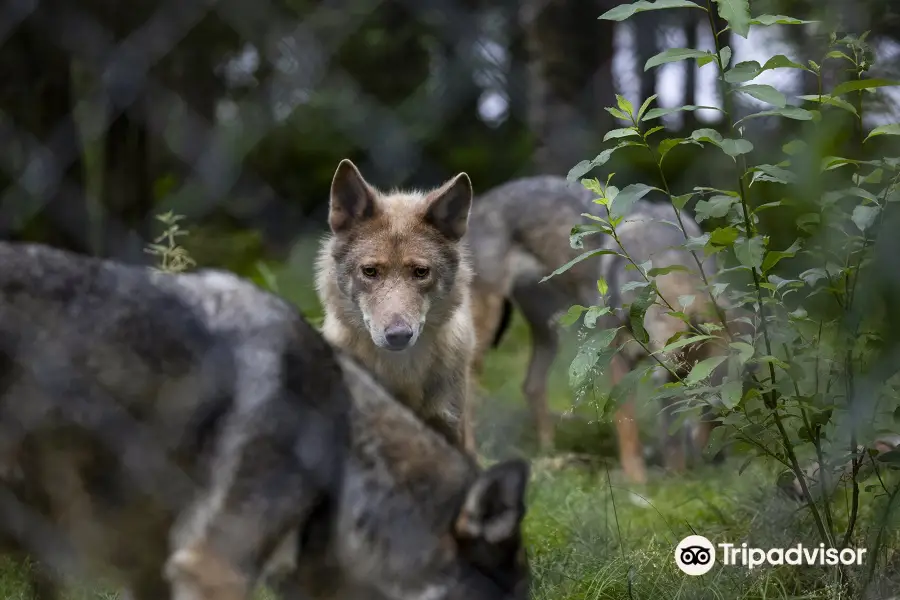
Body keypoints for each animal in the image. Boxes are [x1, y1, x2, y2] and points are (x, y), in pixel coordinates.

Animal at [460, 176, 728, 486]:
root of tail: (483, 200)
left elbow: (672, 436)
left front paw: (678, 479)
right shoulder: (619, 359)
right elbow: (628, 426)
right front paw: (638, 482)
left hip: (550, 333)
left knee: (531, 385)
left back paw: (547, 455)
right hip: (482, 338)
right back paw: (475, 460)